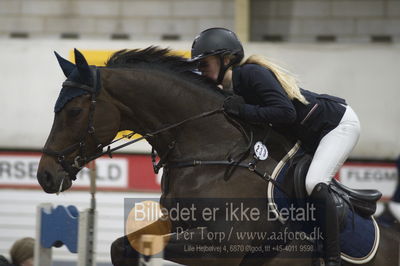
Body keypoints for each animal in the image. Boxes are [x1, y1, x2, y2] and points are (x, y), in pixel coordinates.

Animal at [36, 46, 396, 264]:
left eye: (74, 111)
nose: (45, 175)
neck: (209, 149)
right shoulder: (174, 223)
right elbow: (122, 245)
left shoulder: (221, 244)